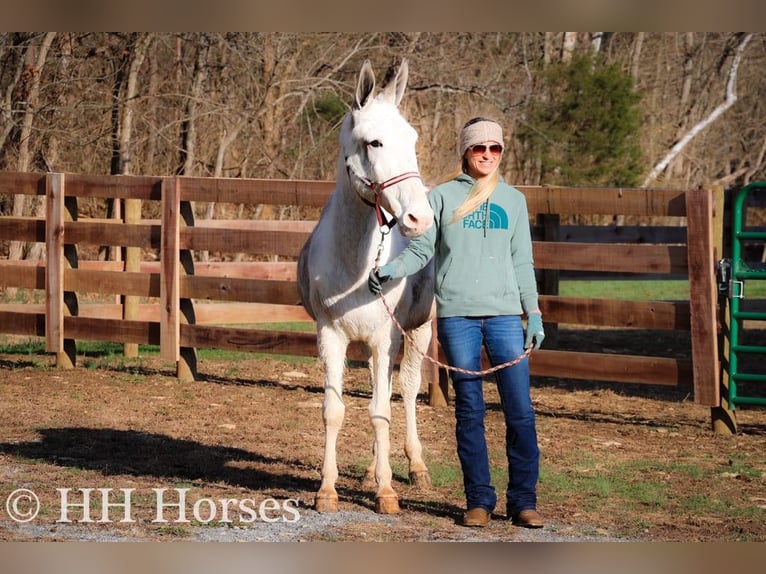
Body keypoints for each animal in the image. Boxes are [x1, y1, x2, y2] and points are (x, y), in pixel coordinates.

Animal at [297, 58, 435, 514]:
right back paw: (374, 470)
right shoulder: (331, 336)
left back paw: (414, 467)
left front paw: (386, 493)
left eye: (412, 139)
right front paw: (327, 490)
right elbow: (334, 410)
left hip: (418, 331)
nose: (419, 219)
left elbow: (380, 412)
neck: (356, 265)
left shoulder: (384, 339)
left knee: (405, 391)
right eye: (373, 142)